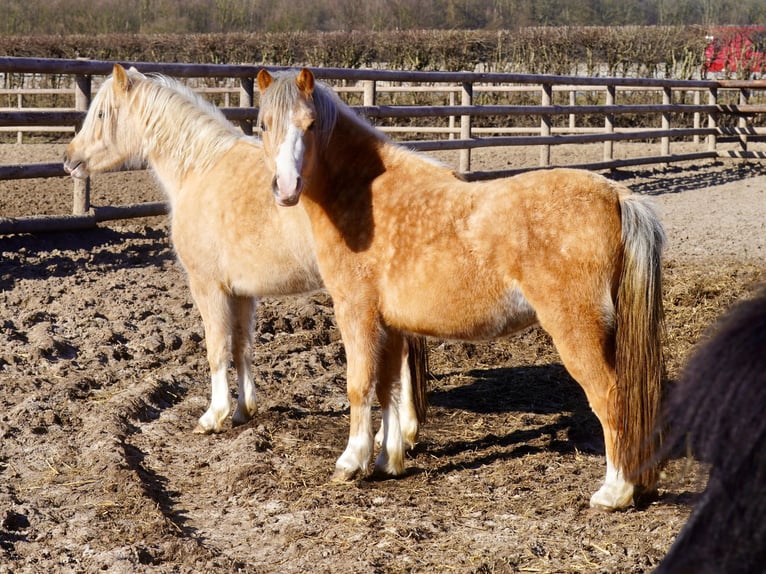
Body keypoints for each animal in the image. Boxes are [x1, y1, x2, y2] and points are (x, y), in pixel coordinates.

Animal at [63, 65, 428, 448]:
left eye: (101, 114)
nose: (68, 159)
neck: (200, 169)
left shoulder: (208, 287)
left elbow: (217, 349)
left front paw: (214, 415)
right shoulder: (240, 292)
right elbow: (242, 348)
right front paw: (242, 410)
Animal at [256, 68, 664, 512]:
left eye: (311, 125)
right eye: (263, 125)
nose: (285, 187)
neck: (365, 197)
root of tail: (616, 195)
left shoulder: (356, 312)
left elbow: (359, 385)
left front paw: (351, 462)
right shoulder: (391, 324)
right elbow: (390, 389)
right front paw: (388, 460)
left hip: (578, 329)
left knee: (611, 397)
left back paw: (615, 491)